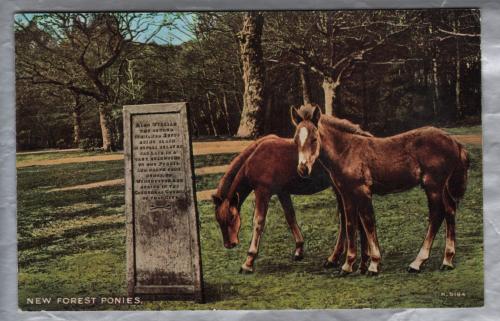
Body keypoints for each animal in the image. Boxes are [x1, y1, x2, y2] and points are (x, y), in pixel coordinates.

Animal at [212, 135, 372, 272]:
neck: (255, 157)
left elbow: (258, 222)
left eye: (232, 217)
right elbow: (290, 217)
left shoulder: (262, 192)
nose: (229, 244)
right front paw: (299, 250)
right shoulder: (282, 192)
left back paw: (337, 258)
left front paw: (248, 262)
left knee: (346, 218)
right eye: (218, 220)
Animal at [292, 104, 470, 274]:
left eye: (314, 138)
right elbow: (350, 224)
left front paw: (373, 264)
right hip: (443, 187)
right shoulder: (346, 194)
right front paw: (348, 265)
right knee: (450, 210)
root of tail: (454, 141)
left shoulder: (362, 191)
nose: (303, 169)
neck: (346, 151)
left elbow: (368, 222)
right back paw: (447, 261)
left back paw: (417, 263)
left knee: (437, 214)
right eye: (295, 140)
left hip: (432, 185)